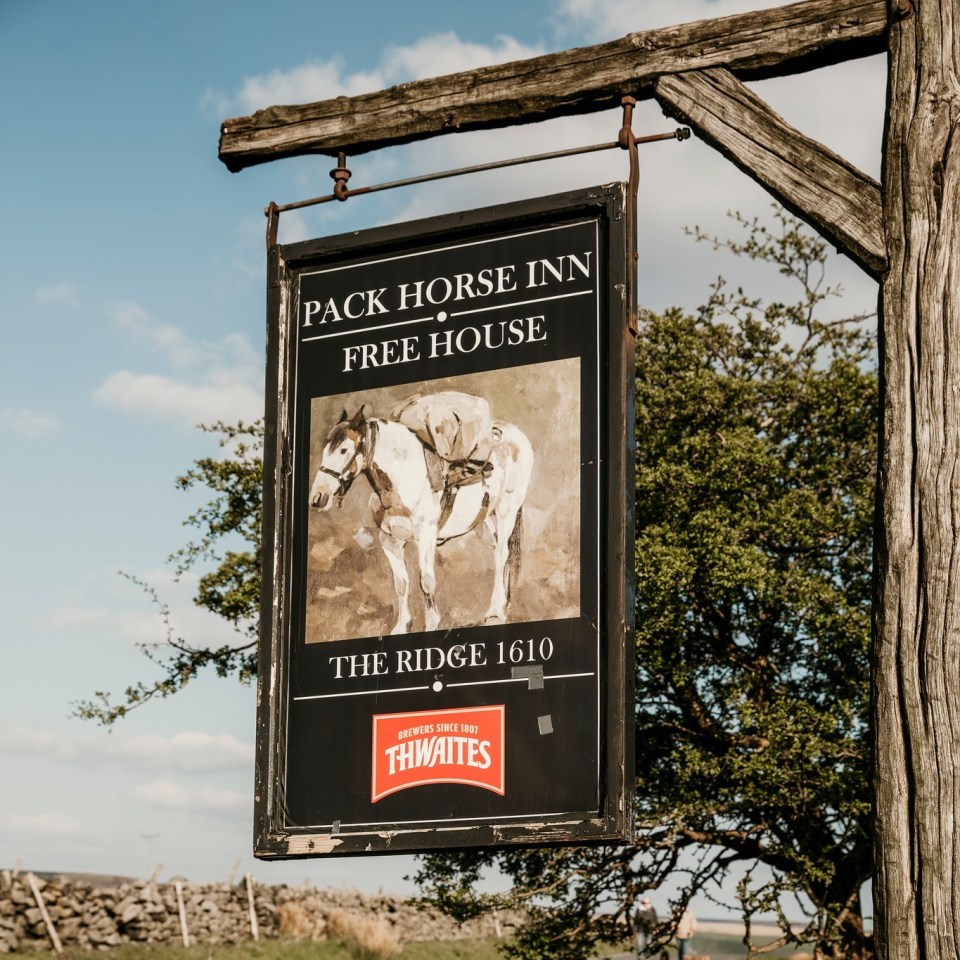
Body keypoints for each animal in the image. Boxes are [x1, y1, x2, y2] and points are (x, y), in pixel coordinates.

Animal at [310, 406, 528, 636]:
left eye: (344, 450)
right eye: (325, 449)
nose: (318, 497)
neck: (406, 478)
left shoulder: (426, 538)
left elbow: (427, 581)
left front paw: (432, 623)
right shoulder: (390, 540)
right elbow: (401, 583)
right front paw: (401, 625)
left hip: (506, 512)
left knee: (502, 553)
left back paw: (495, 612)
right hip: (483, 522)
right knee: (501, 554)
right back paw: (503, 605)